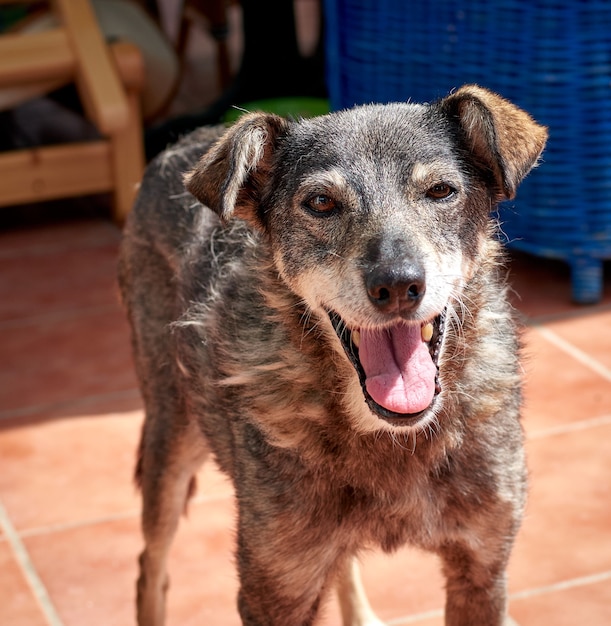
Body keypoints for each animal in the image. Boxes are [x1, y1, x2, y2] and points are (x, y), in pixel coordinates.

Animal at [117, 84, 548, 624]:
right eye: (321, 202)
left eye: (441, 191)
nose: (398, 285)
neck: (390, 438)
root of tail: (178, 145)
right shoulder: (275, 590)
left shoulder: (483, 570)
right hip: (171, 441)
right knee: (149, 566)